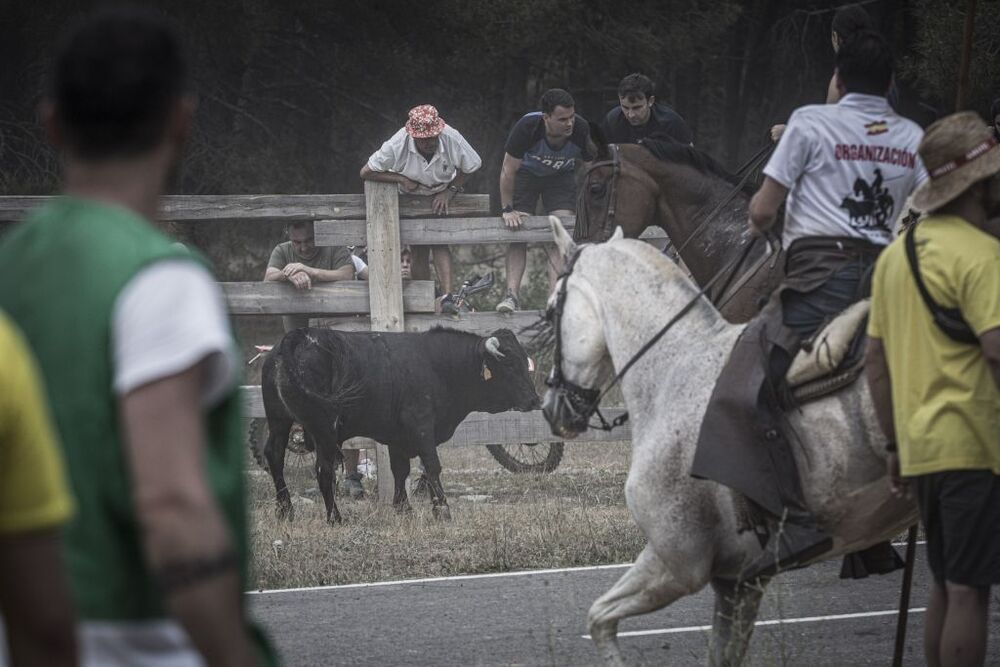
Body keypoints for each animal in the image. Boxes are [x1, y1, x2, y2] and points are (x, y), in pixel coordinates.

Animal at [260, 326, 540, 524]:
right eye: (510, 364)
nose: (534, 400)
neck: (438, 365)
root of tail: (298, 337)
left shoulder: (397, 437)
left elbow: (400, 470)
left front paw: (403, 508)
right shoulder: (422, 427)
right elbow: (432, 466)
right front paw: (442, 509)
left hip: (279, 420)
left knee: (275, 457)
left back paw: (285, 510)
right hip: (323, 430)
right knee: (324, 470)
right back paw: (335, 518)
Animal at [544, 218, 916, 664]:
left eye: (550, 311)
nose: (550, 408)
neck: (676, 368)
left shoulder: (678, 563)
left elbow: (599, 618)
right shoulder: (737, 582)